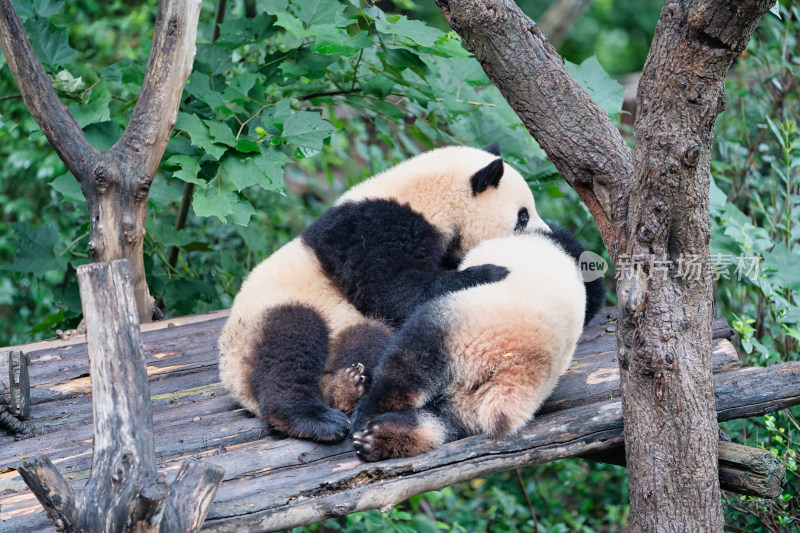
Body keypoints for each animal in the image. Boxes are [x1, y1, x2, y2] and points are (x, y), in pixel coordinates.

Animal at [216, 143, 552, 442]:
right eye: (523, 215)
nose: (546, 233)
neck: (426, 197)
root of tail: (231, 378)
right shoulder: (372, 231)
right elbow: (391, 289)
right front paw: (489, 272)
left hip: (347, 324)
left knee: (369, 339)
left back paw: (347, 387)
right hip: (265, 317)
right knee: (290, 342)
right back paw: (311, 419)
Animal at [354, 222, 604, 460]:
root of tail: (512, 368)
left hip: (462, 325)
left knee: (409, 363)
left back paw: (367, 416)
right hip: (470, 405)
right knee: (445, 422)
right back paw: (382, 438)